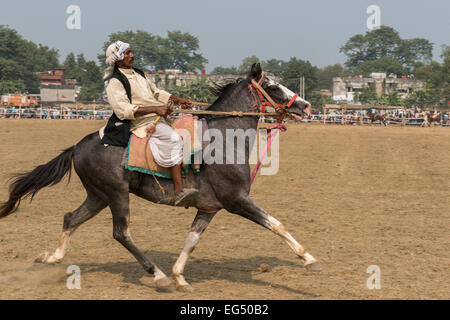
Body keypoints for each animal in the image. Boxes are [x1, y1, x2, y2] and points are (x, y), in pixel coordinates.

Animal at [1, 63, 322, 292]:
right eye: (272, 86)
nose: (306, 106)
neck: (222, 140)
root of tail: (77, 147)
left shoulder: (209, 208)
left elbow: (191, 240)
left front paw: (181, 277)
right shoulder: (236, 200)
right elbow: (277, 225)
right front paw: (310, 260)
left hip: (98, 195)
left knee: (71, 218)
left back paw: (51, 257)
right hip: (116, 194)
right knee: (121, 233)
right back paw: (157, 275)